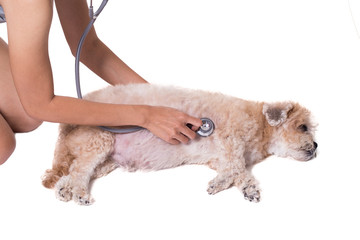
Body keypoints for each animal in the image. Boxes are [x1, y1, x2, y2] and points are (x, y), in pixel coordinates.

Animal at [43, 83, 318, 205]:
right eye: (303, 127)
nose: (316, 146)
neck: (260, 126)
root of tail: (64, 126)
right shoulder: (230, 144)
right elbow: (239, 169)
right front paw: (247, 188)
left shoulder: (221, 158)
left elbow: (234, 172)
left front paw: (222, 184)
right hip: (100, 141)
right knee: (78, 172)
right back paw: (80, 194)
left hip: (104, 160)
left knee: (73, 173)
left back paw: (66, 191)